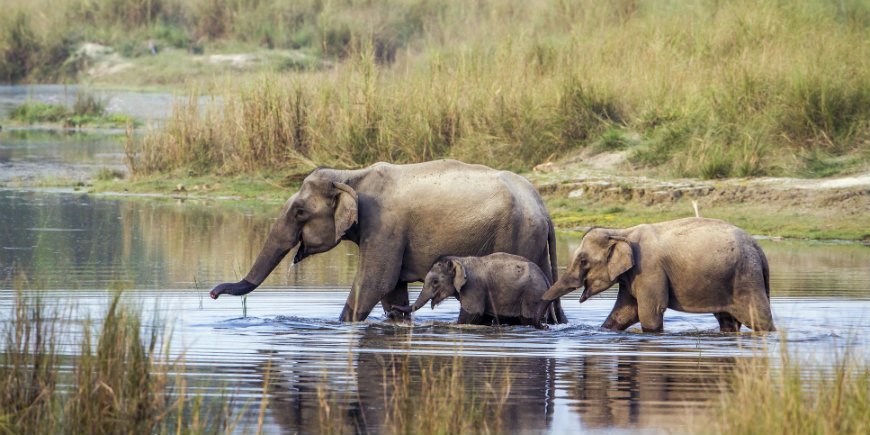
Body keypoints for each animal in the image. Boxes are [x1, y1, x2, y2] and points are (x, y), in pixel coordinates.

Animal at [394, 253, 555, 329]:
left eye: (435, 282)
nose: (392, 308)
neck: (460, 260)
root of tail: (545, 277)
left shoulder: (474, 287)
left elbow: (472, 314)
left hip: (532, 294)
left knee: (527, 318)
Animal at [542, 217, 775, 332]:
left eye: (583, 261)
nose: (546, 324)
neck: (621, 232)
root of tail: (759, 249)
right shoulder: (632, 275)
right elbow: (624, 312)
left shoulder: (649, 269)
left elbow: (648, 312)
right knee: (727, 321)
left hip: (746, 276)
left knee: (759, 318)